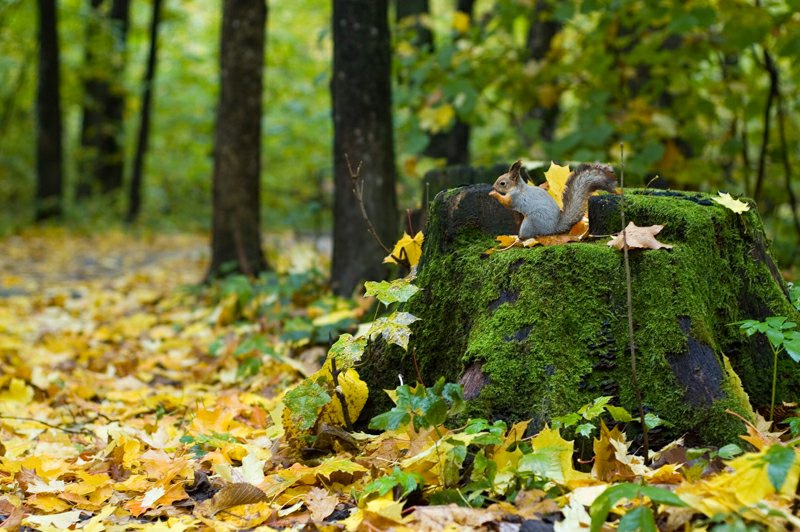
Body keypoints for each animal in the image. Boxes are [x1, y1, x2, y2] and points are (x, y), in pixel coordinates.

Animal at [489, 160, 617, 239]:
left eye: (502, 183)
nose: (493, 187)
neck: (518, 188)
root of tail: (552, 229)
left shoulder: (515, 198)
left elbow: (507, 202)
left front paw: (494, 194)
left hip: (530, 223)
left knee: (529, 235)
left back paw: (520, 239)